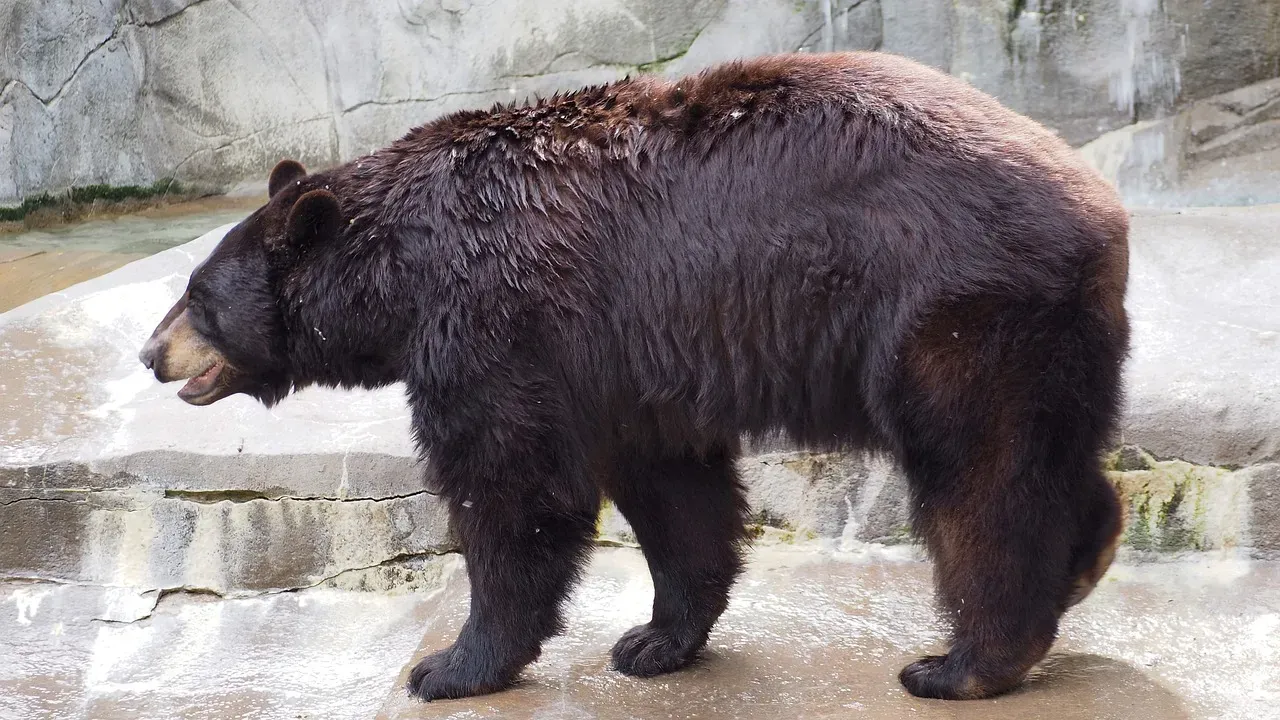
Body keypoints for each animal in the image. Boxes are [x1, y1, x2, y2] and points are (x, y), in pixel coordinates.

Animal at [138, 51, 1129, 702]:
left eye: (196, 294)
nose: (151, 354)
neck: (402, 273)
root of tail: (1100, 205)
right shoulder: (627, 356)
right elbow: (672, 485)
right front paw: (654, 641)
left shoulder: (499, 322)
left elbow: (513, 487)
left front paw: (449, 666)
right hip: (1046, 333)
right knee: (1047, 455)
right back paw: (1085, 563)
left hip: (954, 310)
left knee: (980, 473)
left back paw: (961, 663)